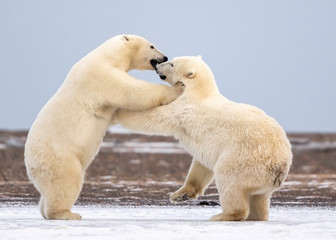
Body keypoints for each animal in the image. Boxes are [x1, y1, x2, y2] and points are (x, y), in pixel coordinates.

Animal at [24, 34, 182, 220]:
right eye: (152, 46)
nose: (164, 57)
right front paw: (178, 89)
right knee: (66, 182)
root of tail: (30, 166)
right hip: (59, 158)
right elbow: (134, 92)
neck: (108, 56)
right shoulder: (102, 76)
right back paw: (68, 213)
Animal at [115, 55, 292, 221]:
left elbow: (153, 118)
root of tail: (280, 166)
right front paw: (180, 195)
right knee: (259, 198)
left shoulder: (184, 108)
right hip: (261, 178)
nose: (158, 65)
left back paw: (223, 215)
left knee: (229, 182)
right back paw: (256, 216)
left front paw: (119, 110)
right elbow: (201, 166)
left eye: (172, 64)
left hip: (244, 158)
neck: (200, 91)